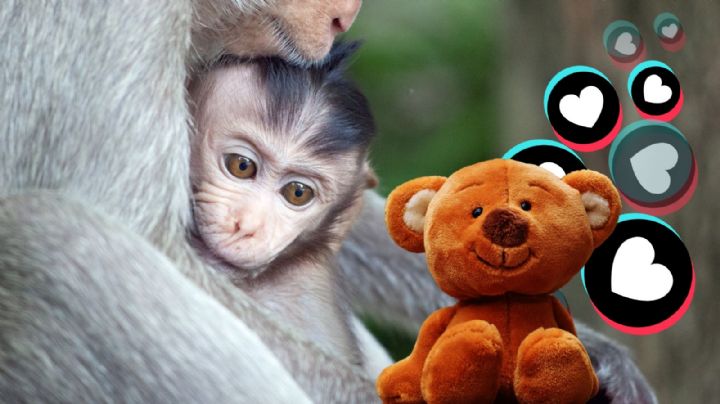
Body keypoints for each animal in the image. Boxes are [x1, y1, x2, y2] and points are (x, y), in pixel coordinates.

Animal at [0, 0, 657, 402]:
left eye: (298, 194)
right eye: (240, 167)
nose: (343, 14)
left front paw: (592, 354)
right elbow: (141, 231)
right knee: (50, 241)